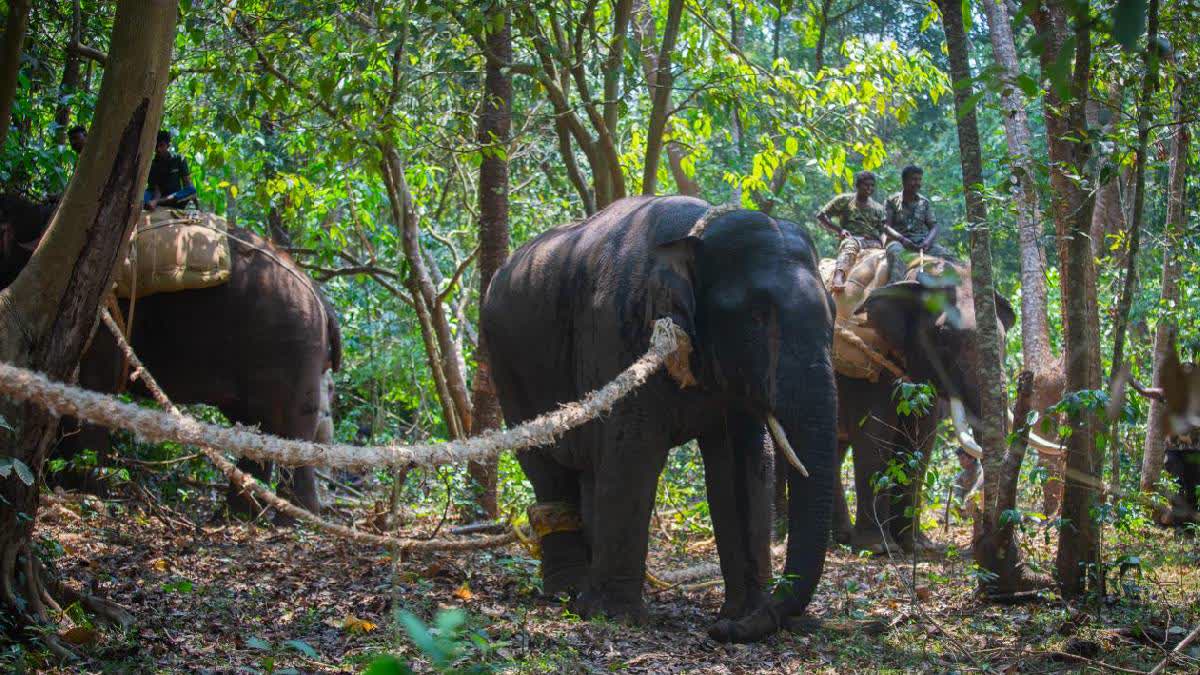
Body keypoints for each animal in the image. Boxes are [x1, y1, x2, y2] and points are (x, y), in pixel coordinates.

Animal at [0, 194, 341, 515]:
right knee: (258, 427)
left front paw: (84, 492)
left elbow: (94, 385)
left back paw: (289, 519)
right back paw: (236, 517)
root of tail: (320, 297)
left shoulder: (101, 310)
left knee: (291, 429)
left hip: (292, 346)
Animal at [481, 196, 837, 643]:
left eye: (835, 315)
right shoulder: (618, 332)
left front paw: (743, 612)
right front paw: (616, 617)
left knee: (590, 472)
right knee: (546, 466)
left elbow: (744, 466)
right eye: (758, 315)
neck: (693, 231)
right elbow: (633, 449)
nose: (720, 630)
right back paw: (569, 592)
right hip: (507, 364)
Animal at [829, 269, 1015, 554]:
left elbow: (922, 438)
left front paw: (918, 546)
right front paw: (879, 548)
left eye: (1004, 340)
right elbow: (875, 433)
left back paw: (841, 538)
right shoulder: (869, 363)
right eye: (944, 337)